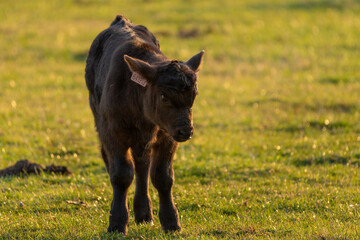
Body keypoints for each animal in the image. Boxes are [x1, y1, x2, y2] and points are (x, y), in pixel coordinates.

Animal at [83, 14, 202, 233]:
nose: (186, 130)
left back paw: (144, 213)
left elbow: (162, 176)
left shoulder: (167, 135)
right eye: (163, 96)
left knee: (142, 166)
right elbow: (121, 174)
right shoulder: (113, 133)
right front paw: (117, 222)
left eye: (194, 94)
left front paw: (171, 222)